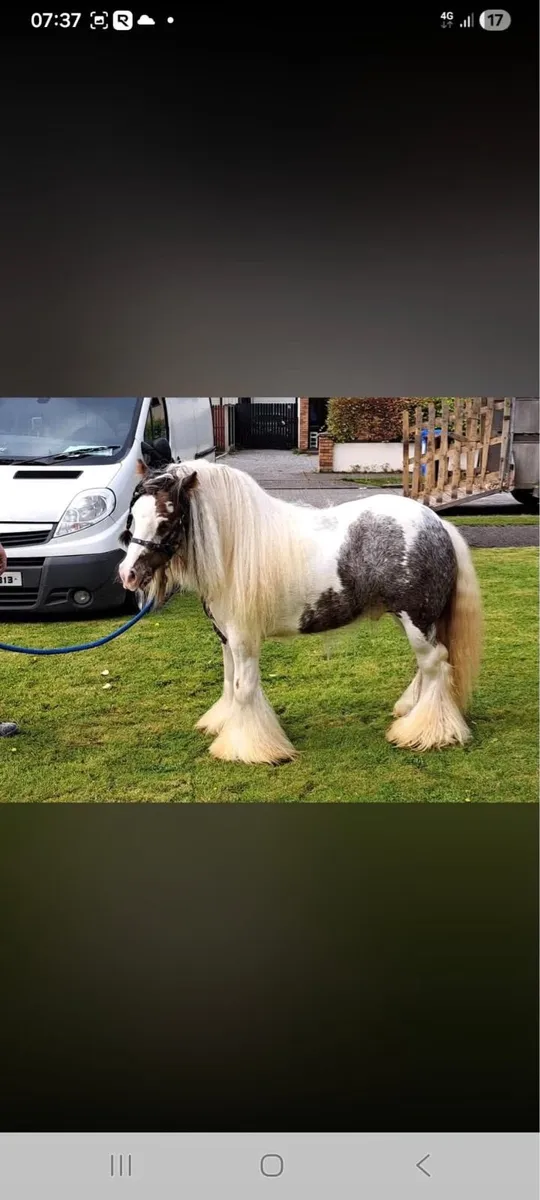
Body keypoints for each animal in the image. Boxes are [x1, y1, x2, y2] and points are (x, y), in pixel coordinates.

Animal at [118, 458, 483, 766]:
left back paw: (424, 731)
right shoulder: (227, 638)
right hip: (413, 620)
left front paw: (247, 748)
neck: (234, 550)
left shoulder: (244, 639)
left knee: (435, 664)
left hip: (416, 619)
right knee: (427, 665)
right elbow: (229, 683)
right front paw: (225, 724)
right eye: (133, 514)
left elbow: (244, 687)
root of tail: (438, 523)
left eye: (166, 520)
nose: (127, 574)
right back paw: (411, 711)